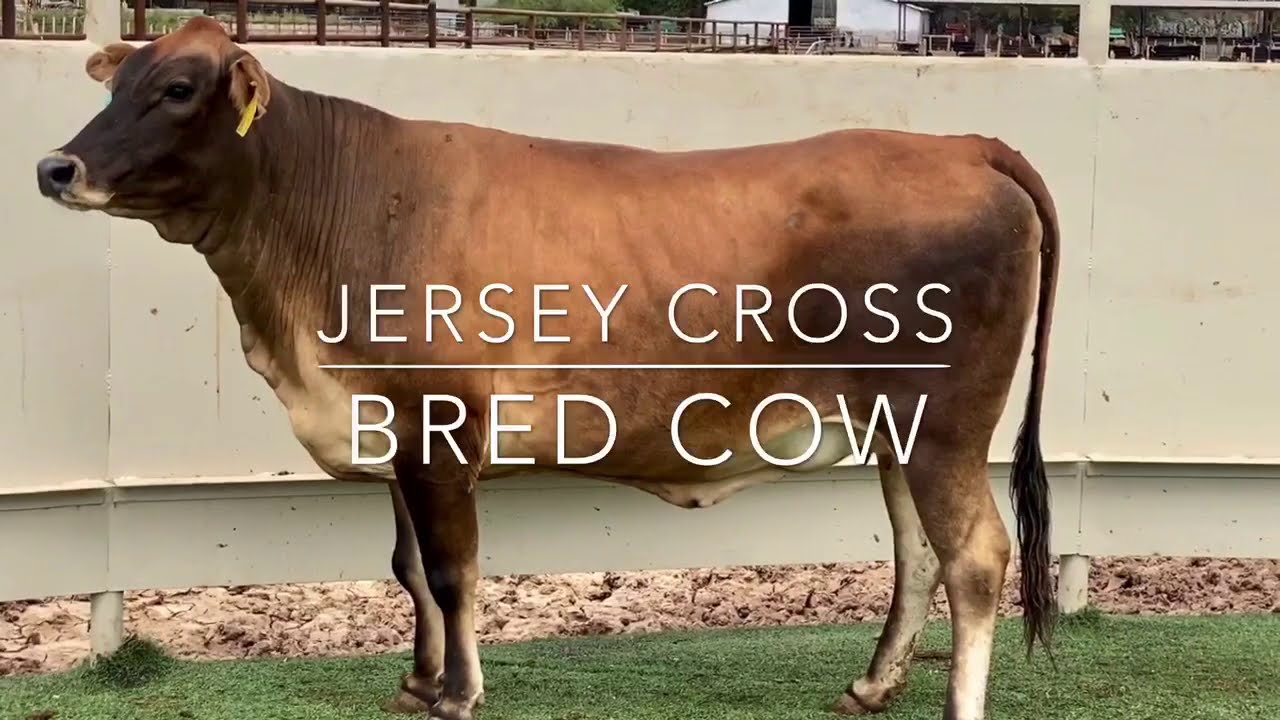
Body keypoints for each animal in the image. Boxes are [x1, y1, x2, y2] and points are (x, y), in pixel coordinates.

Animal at [35, 17, 1060, 720]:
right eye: (118, 81)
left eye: (176, 87)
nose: (56, 167)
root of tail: (961, 145)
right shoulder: (393, 426)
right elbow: (408, 566)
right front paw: (417, 681)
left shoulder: (443, 424)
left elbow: (452, 569)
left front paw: (457, 692)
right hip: (896, 426)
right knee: (918, 550)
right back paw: (870, 685)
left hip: (946, 422)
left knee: (975, 555)